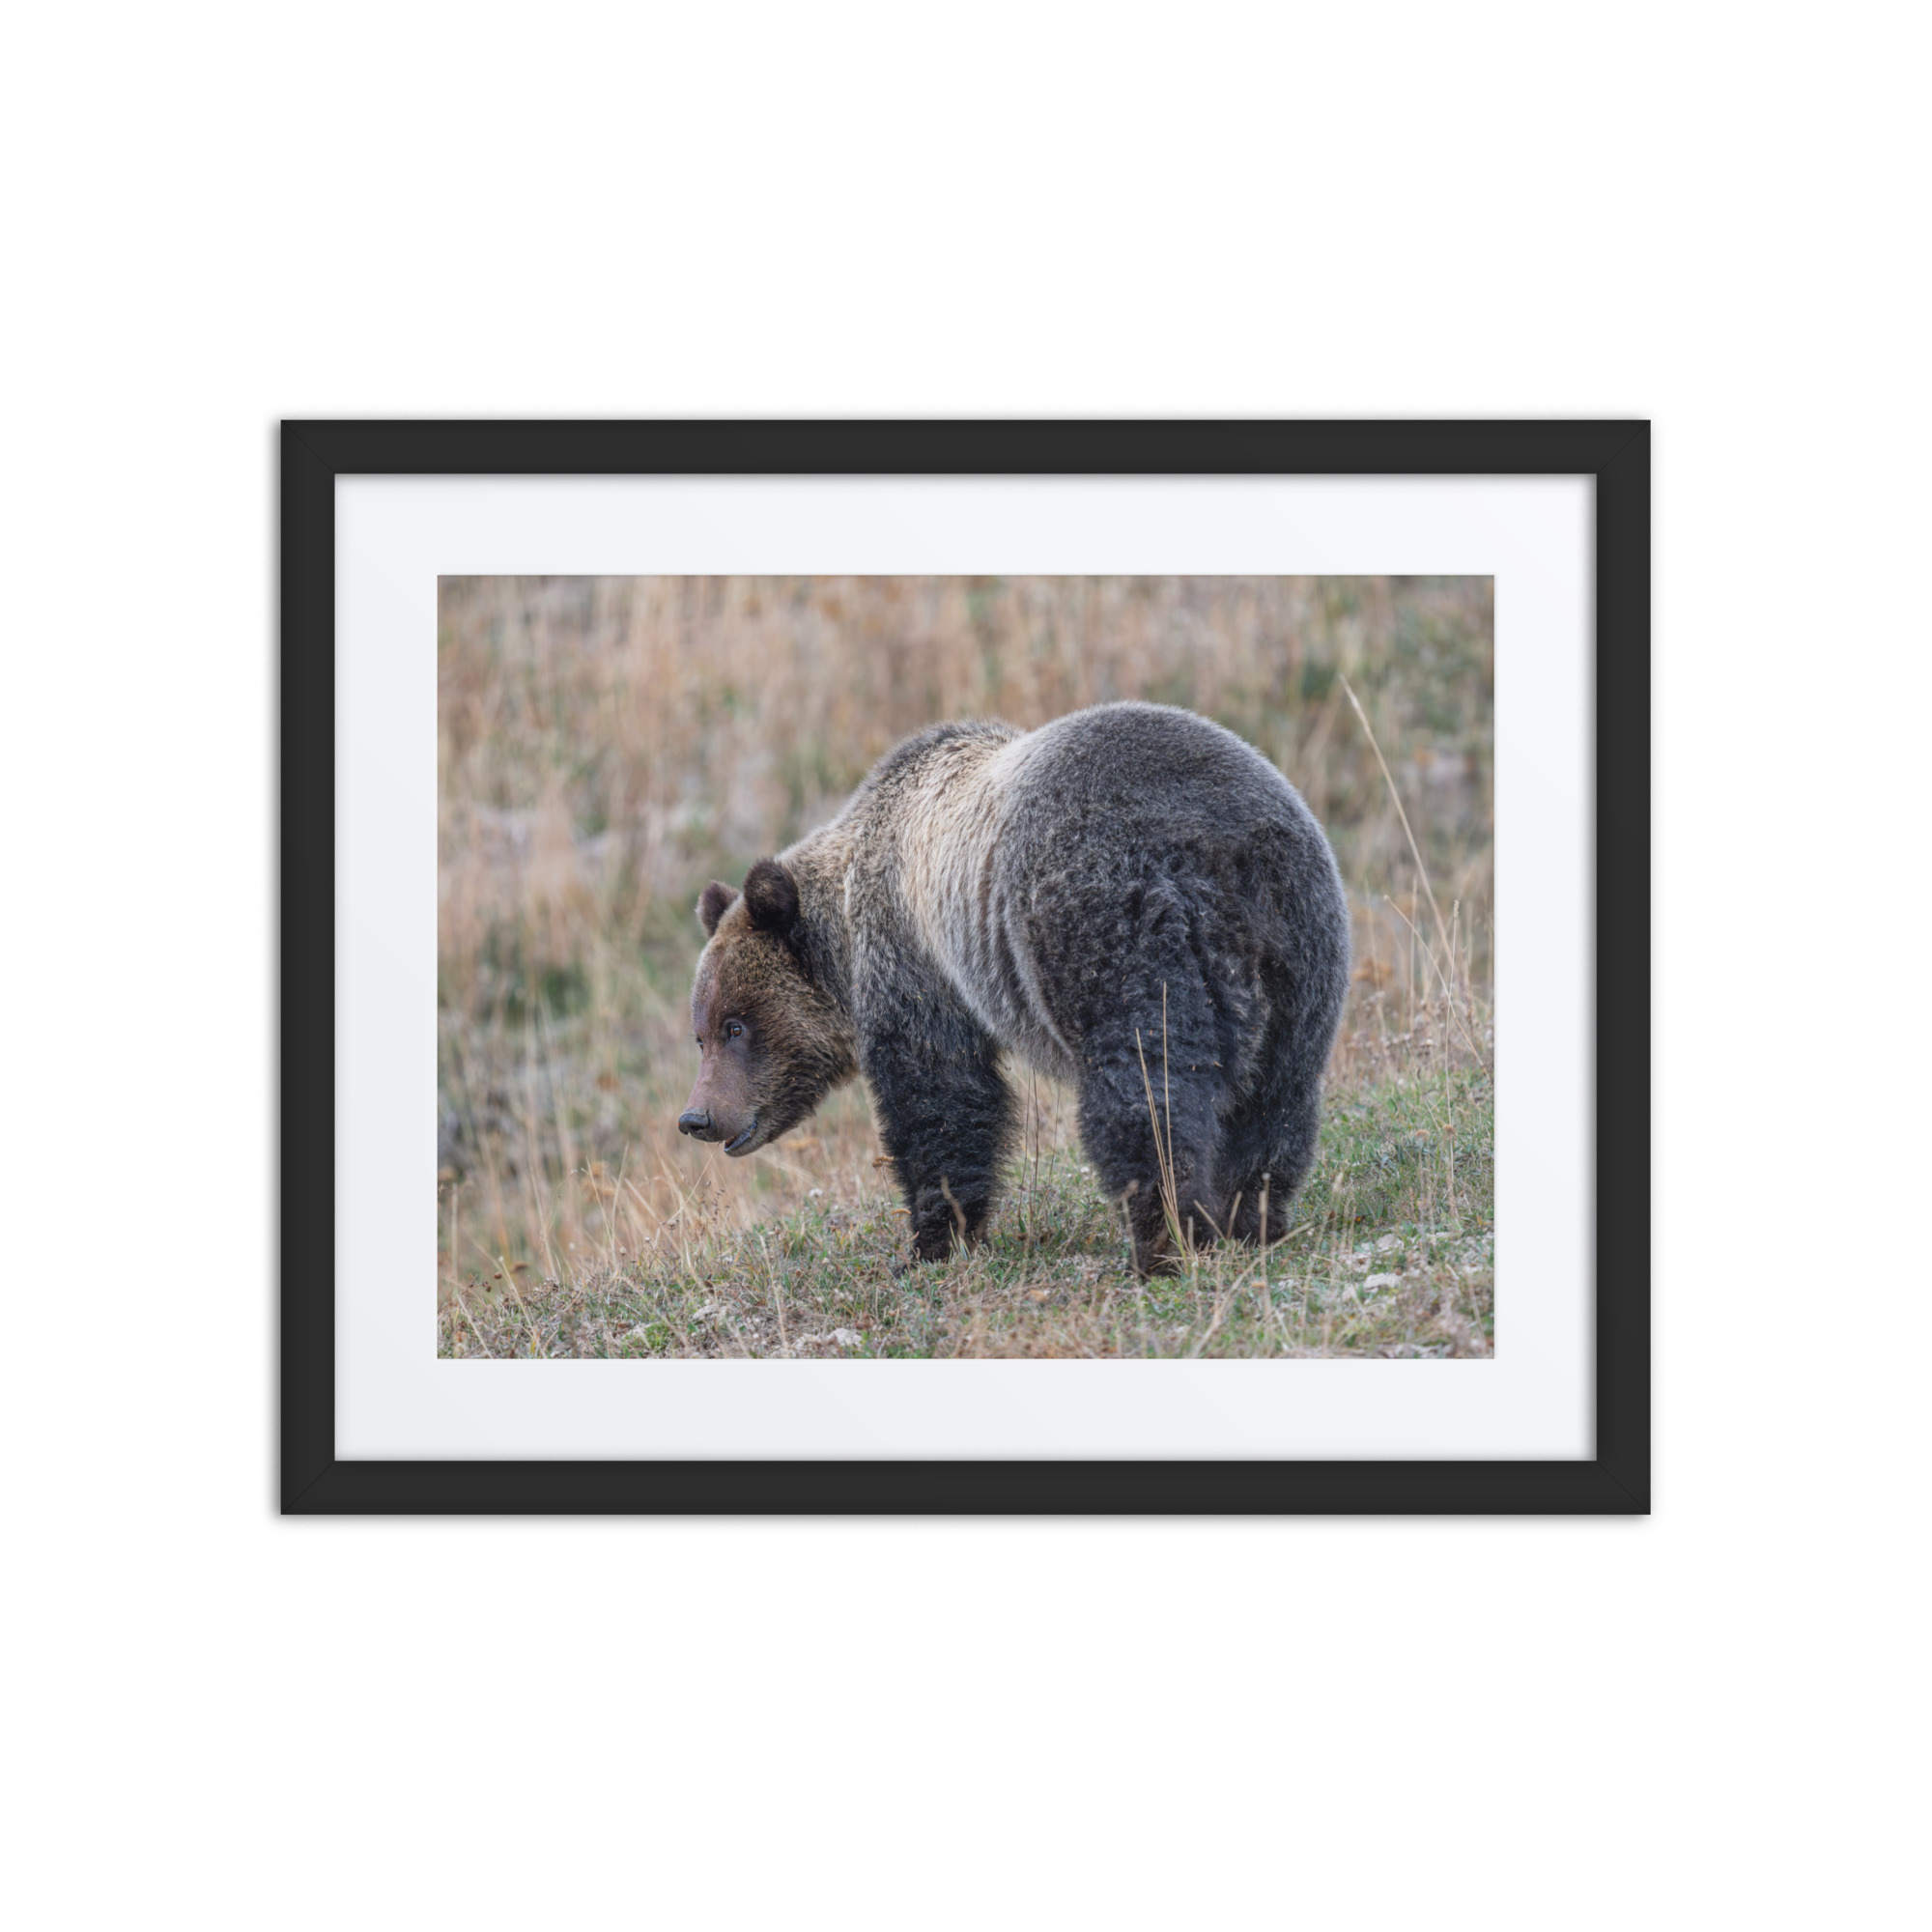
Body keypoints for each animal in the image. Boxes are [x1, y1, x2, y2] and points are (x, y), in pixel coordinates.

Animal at [678, 700, 1351, 1277]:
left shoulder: (917, 964)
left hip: (1110, 926)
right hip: (1300, 945)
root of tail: (1219, 850)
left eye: (736, 1025)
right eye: (701, 1033)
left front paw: (931, 1241)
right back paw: (1251, 1218)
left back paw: (1164, 1240)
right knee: (1277, 1095)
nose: (697, 1117)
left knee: (1146, 1090)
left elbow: (941, 1099)